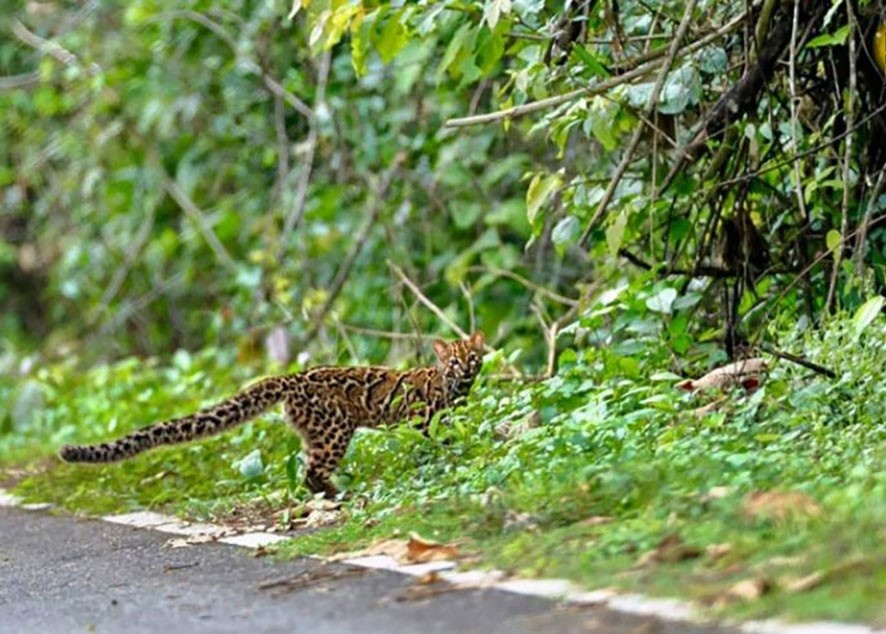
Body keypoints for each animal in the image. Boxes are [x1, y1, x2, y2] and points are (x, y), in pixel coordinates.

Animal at [59, 330, 486, 494]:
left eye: (473, 357)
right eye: (453, 362)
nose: (465, 369)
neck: (454, 386)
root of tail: (290, 377)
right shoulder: (423, 419)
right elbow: (433, 441)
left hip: (318, 432)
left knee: (306, 469)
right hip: (335, 429)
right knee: (313, 471)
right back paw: (340, 492)